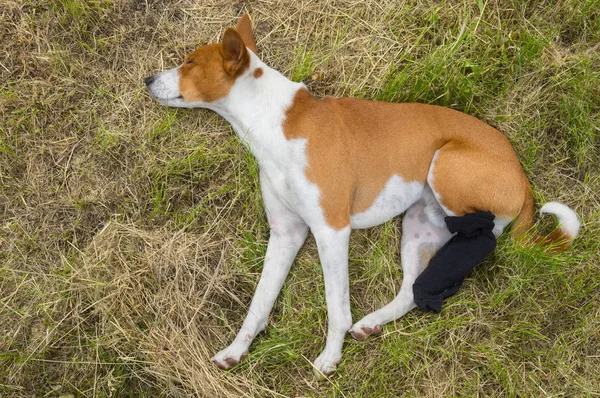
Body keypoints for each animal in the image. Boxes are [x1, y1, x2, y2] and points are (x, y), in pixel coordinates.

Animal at [143, 14, 580, 376]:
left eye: (188, 63)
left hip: (446, 165)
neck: (275, 124)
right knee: (411, 289)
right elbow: (259, 303)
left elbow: (336, 306)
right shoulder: (285, 235)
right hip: (421, 225)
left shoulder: (331, 230)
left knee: (480, 236)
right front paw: (236, 350)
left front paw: (330, 357)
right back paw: (374, 322)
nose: (147, 79)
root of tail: (521, 176)